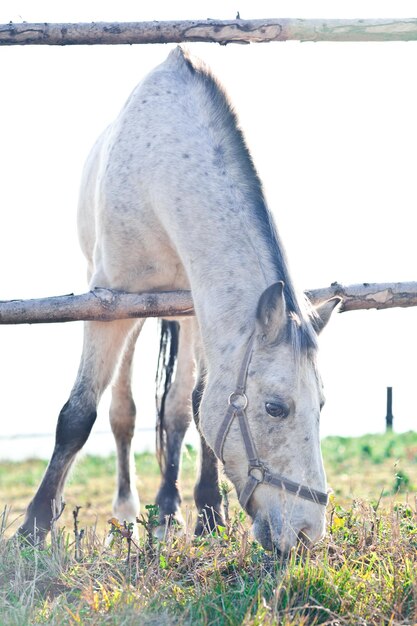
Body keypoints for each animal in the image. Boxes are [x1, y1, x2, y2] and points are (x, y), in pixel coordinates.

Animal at [18, 50, 338, 556]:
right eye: (275, 408)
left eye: (321, 404)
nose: (306, 532)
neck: (161, 170)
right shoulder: (108, 308)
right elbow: (77, 416)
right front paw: (33, 528)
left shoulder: (200, 312)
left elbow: (195, 405)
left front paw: (208, 516)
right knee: (122, 414)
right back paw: (128, 514)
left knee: (175, 410)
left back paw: (168, 512)